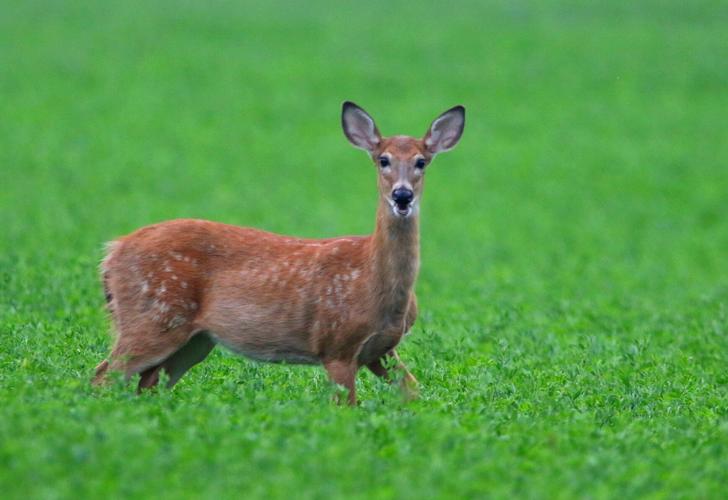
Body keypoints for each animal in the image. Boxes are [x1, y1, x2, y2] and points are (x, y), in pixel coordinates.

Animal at [92, 101, 465, 405]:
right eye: (383, 160)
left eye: (421, 161)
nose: (402, 196)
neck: (374, 281)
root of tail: (112, 252)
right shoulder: (337, 344)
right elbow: (346, 406)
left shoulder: (381, 349)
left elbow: (412, 390)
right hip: (152, 315)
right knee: (104, 375)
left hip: (194, 340)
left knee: (146, 384)